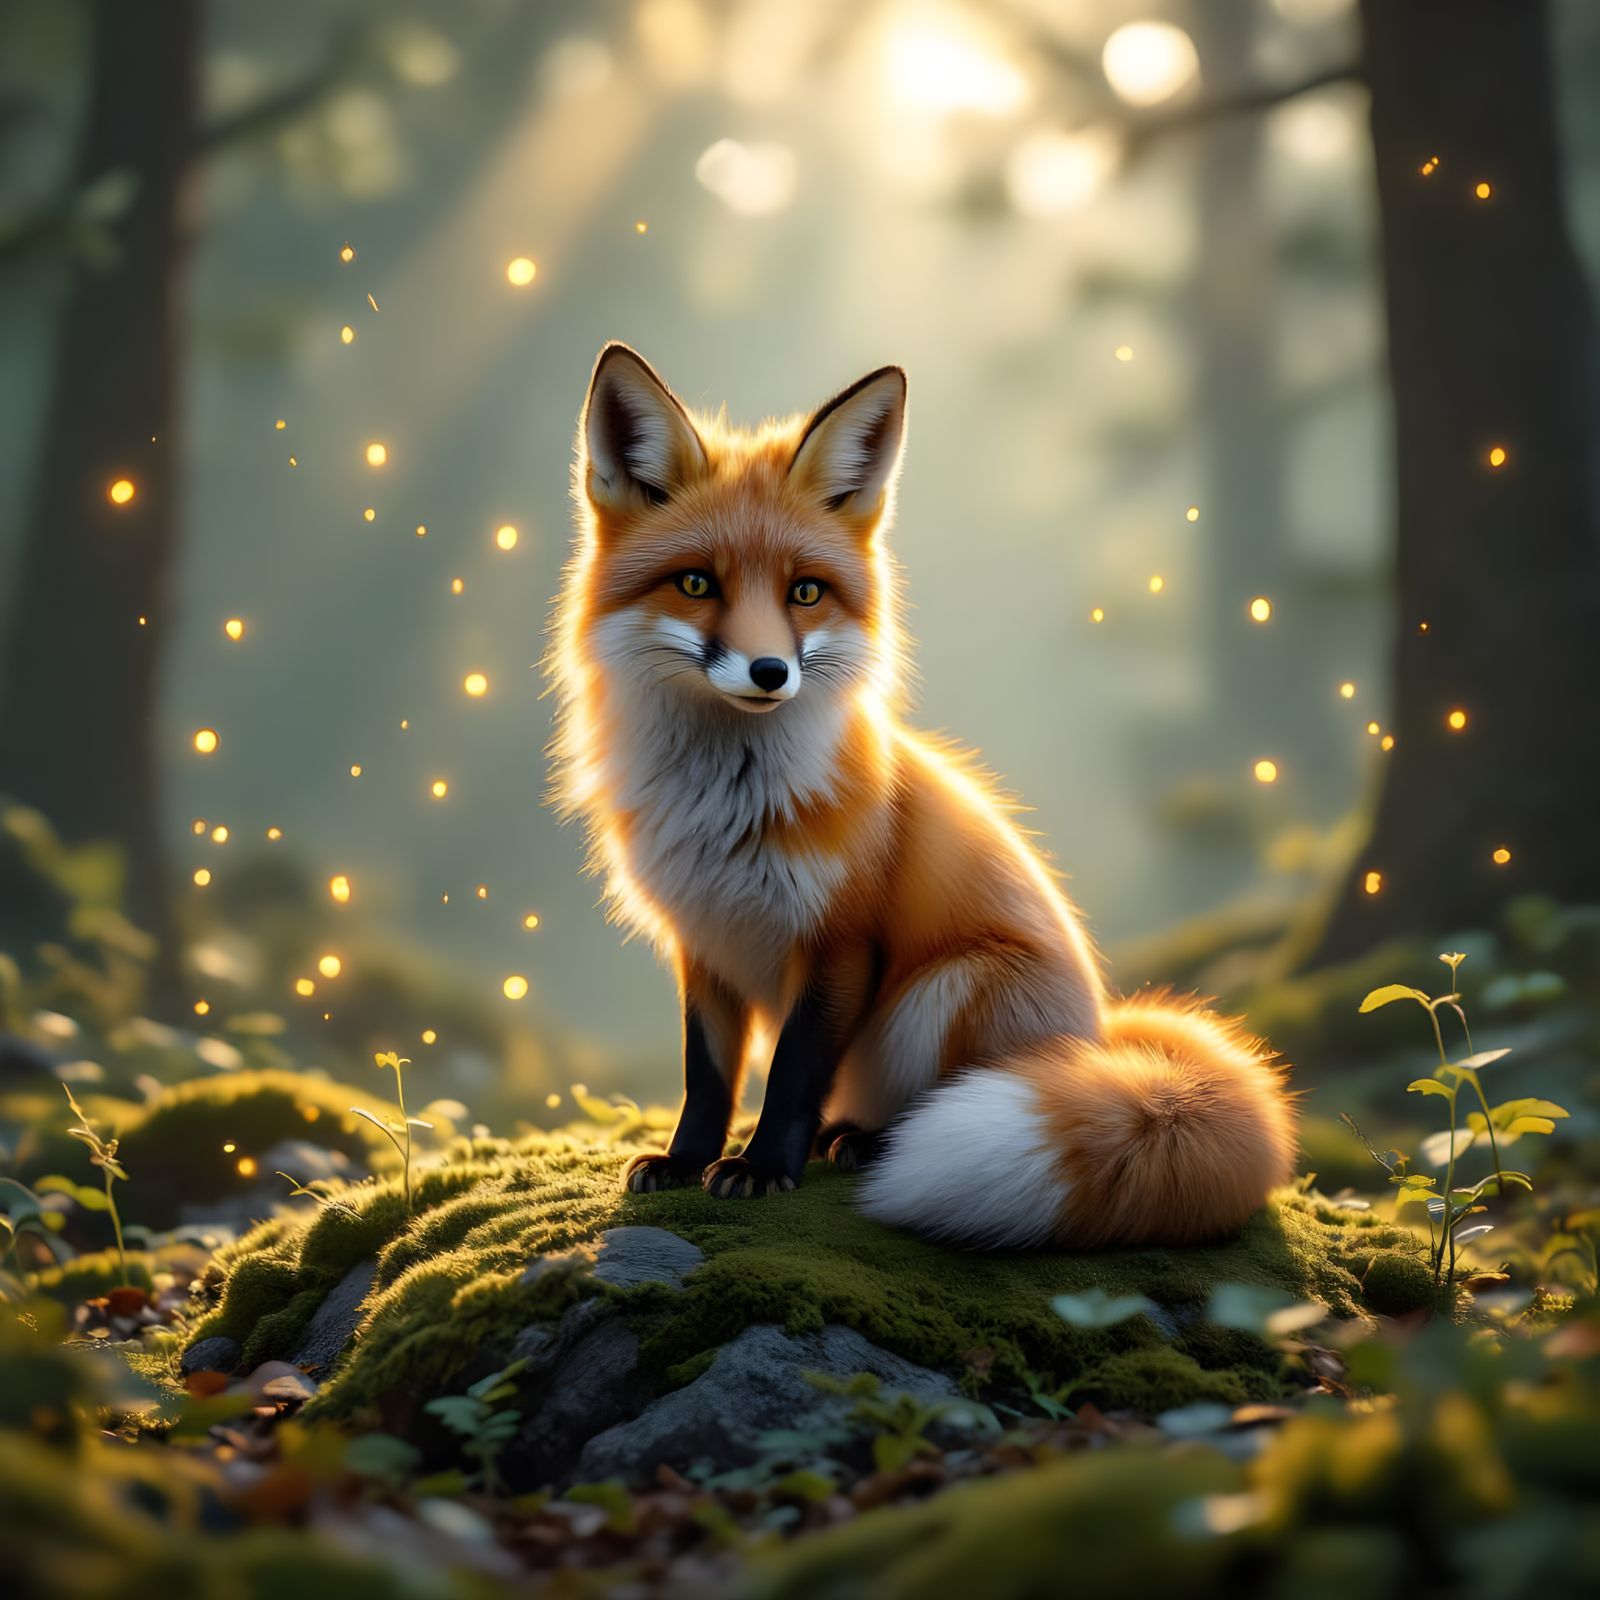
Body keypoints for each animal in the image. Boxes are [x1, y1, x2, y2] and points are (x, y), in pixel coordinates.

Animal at [548, 342, 1296, 1249]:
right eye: (696, 584)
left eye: (805, 592)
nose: (771, 672)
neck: (726, 805)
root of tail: (1100, 1037)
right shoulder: (705, 939)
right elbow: (708, 1074)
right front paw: (687, 1160)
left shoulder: (841, 940)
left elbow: (793, 1072)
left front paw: (762, 1169)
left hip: (949, 989)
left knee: (917, 1100)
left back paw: (868, 1145)